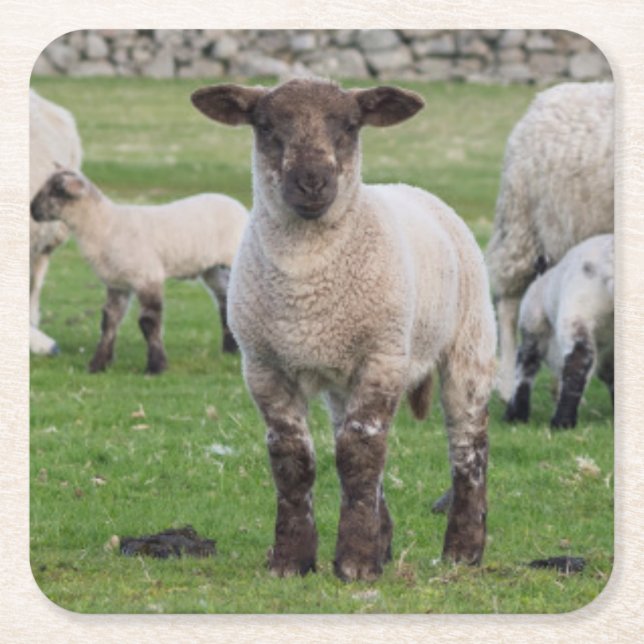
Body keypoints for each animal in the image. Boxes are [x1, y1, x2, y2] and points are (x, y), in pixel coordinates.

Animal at [30, 169, 248, 374]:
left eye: (56, 190)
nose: (32, 210)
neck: (103, 226)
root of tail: (236, 204)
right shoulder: (117, 283)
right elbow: (109, 322)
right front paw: (98, 364)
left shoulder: (147, 276)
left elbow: (148, 322)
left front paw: (156, 366)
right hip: (212, 269)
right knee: (225, 300)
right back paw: (229, 349)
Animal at [191, 78, 497, 581]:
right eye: (265, 125)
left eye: (351, 125)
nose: (312, 181)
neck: (306, 284)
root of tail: (413, 190)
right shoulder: (264, 366)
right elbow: (293, 459)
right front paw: (293, 559)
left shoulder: (382, 356)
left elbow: (360, 454)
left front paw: (355, 562)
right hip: (342, 378)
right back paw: (385, 541)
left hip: (468, 344)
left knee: (468, 446)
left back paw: (462, 551)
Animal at [504, 234, 614, 429]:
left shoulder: (532, 328)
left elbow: (524, 368)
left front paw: (516, 415)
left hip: (576, 311)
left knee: (577, 360)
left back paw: (562, 421)